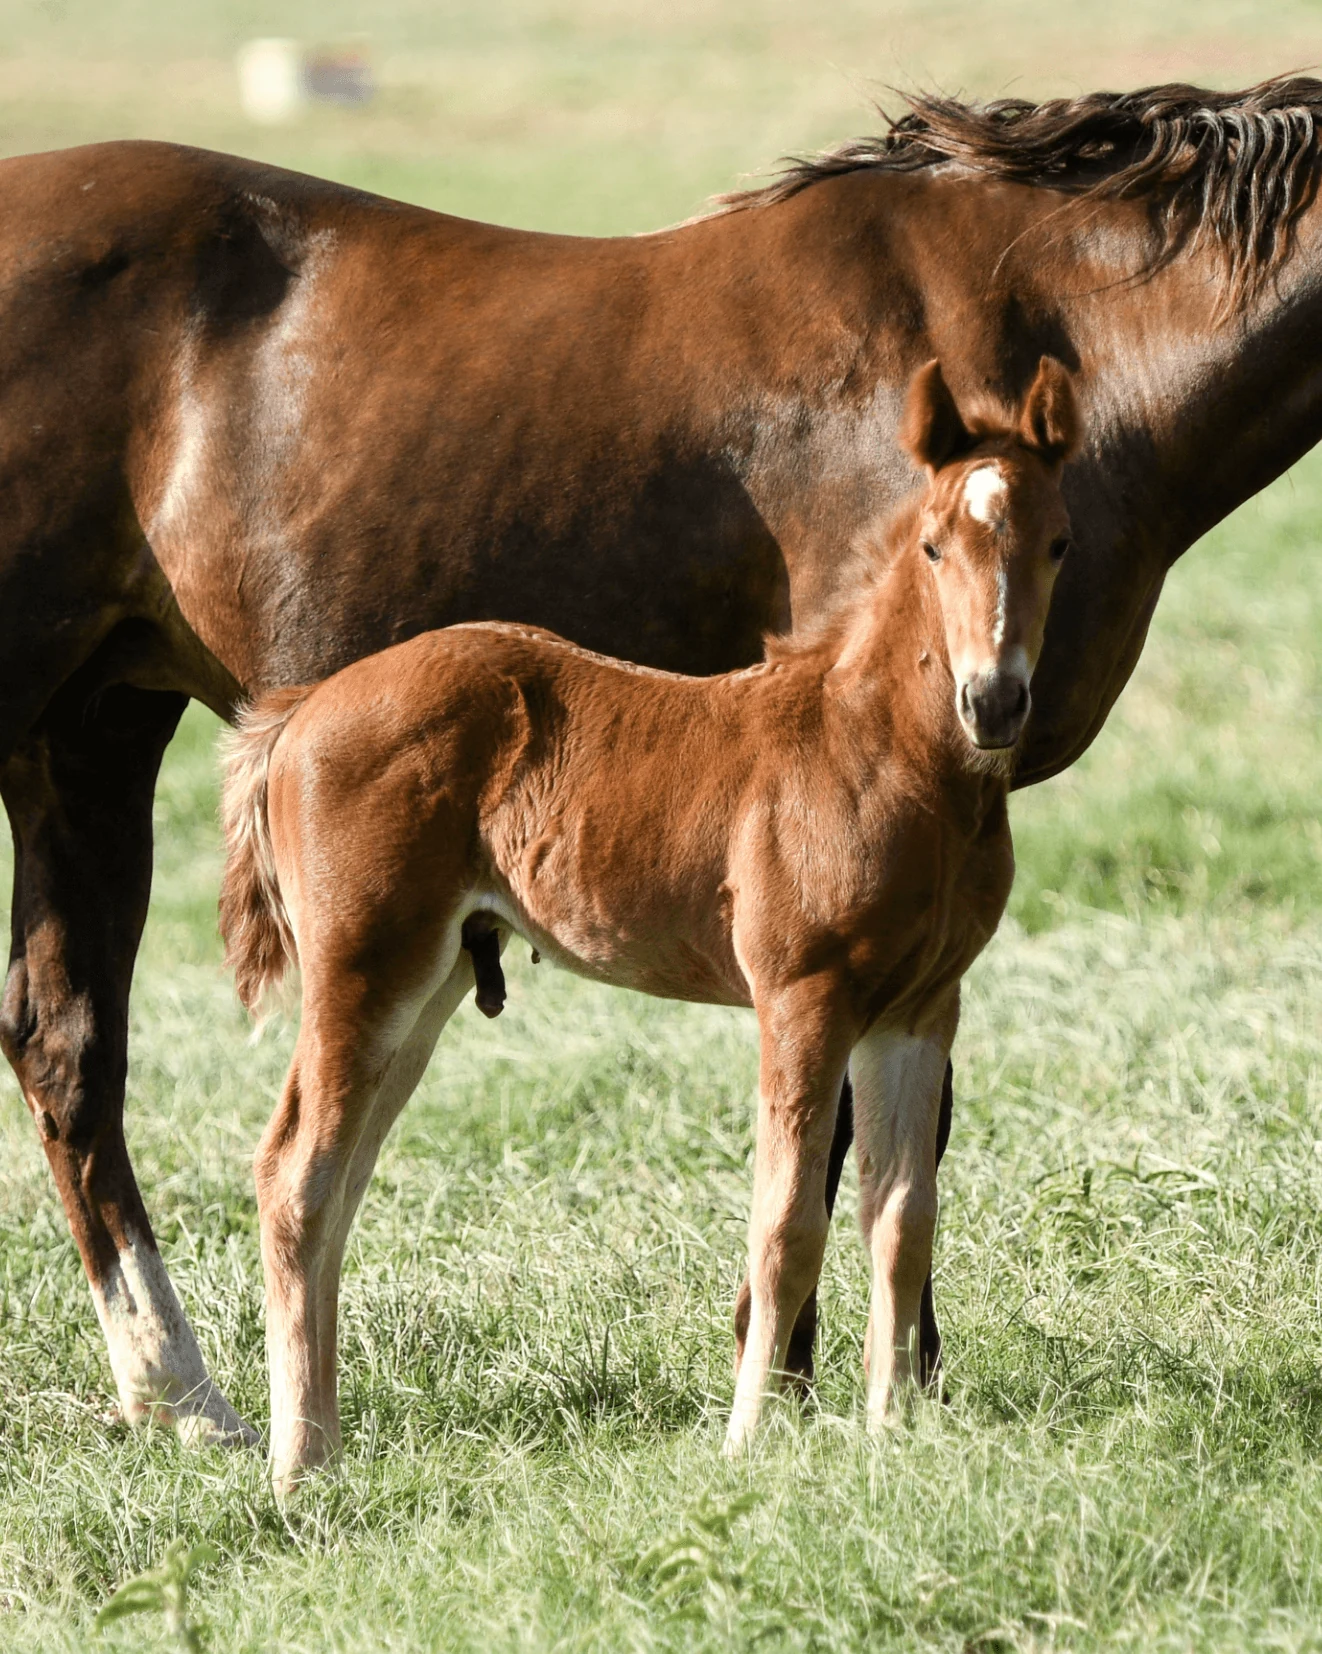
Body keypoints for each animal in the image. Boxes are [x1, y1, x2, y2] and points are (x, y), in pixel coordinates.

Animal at [217, 354, 1078, 1488]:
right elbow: (788, 1224)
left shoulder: (919, 1008)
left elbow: (901, 1219)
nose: (994, 702)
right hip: (362, 969)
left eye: (1057, 541)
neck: (881, 754)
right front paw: (750, 1437)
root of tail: (301, 712)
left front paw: (891, 1435)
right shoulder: (802, 998)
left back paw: (328, 1441)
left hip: (428, 981)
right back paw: (298, 1461)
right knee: (296, 1175)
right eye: (935, 543)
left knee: (342, 1179)